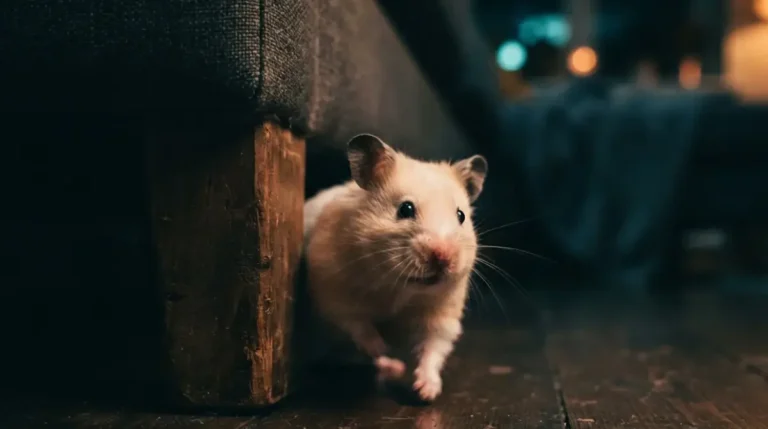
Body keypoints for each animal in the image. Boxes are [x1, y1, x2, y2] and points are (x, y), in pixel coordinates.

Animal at [303, 134, 488, 401]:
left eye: (461, 216)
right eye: (405, 209)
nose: (443, 257)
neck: (399, 286)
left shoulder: (443, 311)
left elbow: (434, 347)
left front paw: (426, 392)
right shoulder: (332, 292)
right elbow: (359, 328)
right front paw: (383, 346)